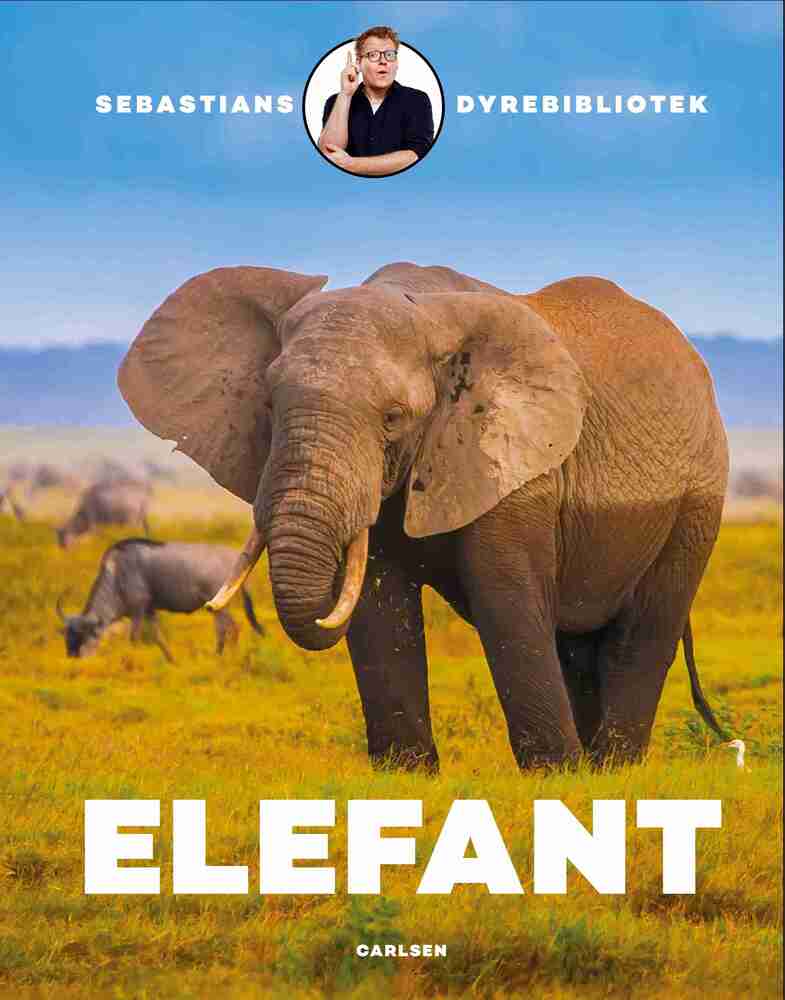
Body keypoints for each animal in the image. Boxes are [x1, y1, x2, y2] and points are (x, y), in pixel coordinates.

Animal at [118, 261, 729, 770]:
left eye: (393, 417)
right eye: (269, 405)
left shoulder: (513, 463)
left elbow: (505, 598)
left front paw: (555, 778)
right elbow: (379, 601)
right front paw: (405, 775)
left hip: (698, 499)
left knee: (644, 627)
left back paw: (610, 769)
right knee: (578, 642)